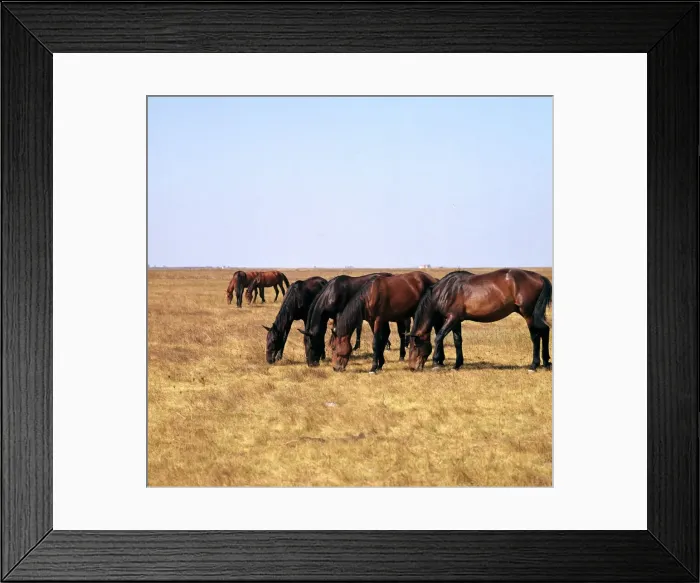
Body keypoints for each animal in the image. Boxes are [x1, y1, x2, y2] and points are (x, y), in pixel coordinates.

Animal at [407, 268, 552, 372]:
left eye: (414, 346)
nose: (412, 367)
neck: (446, 290)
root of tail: (539, 277)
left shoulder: (452, 318)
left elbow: (439, 337)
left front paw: (436, 363)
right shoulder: (456, 321)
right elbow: (457, 341)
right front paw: (457, 365)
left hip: (528, 314)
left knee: (535, 336)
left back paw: (534, 365)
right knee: (545, 330)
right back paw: (546, 363)